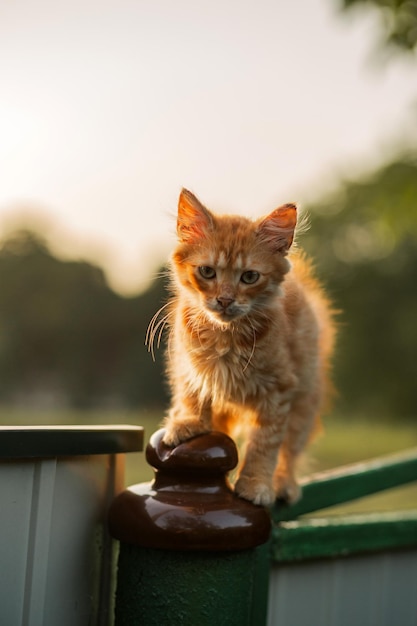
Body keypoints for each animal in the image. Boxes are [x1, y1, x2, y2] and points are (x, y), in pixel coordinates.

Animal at [147, 188, 334, 504]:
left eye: (249, 277)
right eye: (207, 272)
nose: (224, 300)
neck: (226, 337)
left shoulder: (279, 391)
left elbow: (264, 444)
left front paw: (256, 484)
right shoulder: (187, 366)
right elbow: (192, 396)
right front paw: (187, 422)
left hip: (305, 404)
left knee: (291, 450)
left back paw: (284, 483)